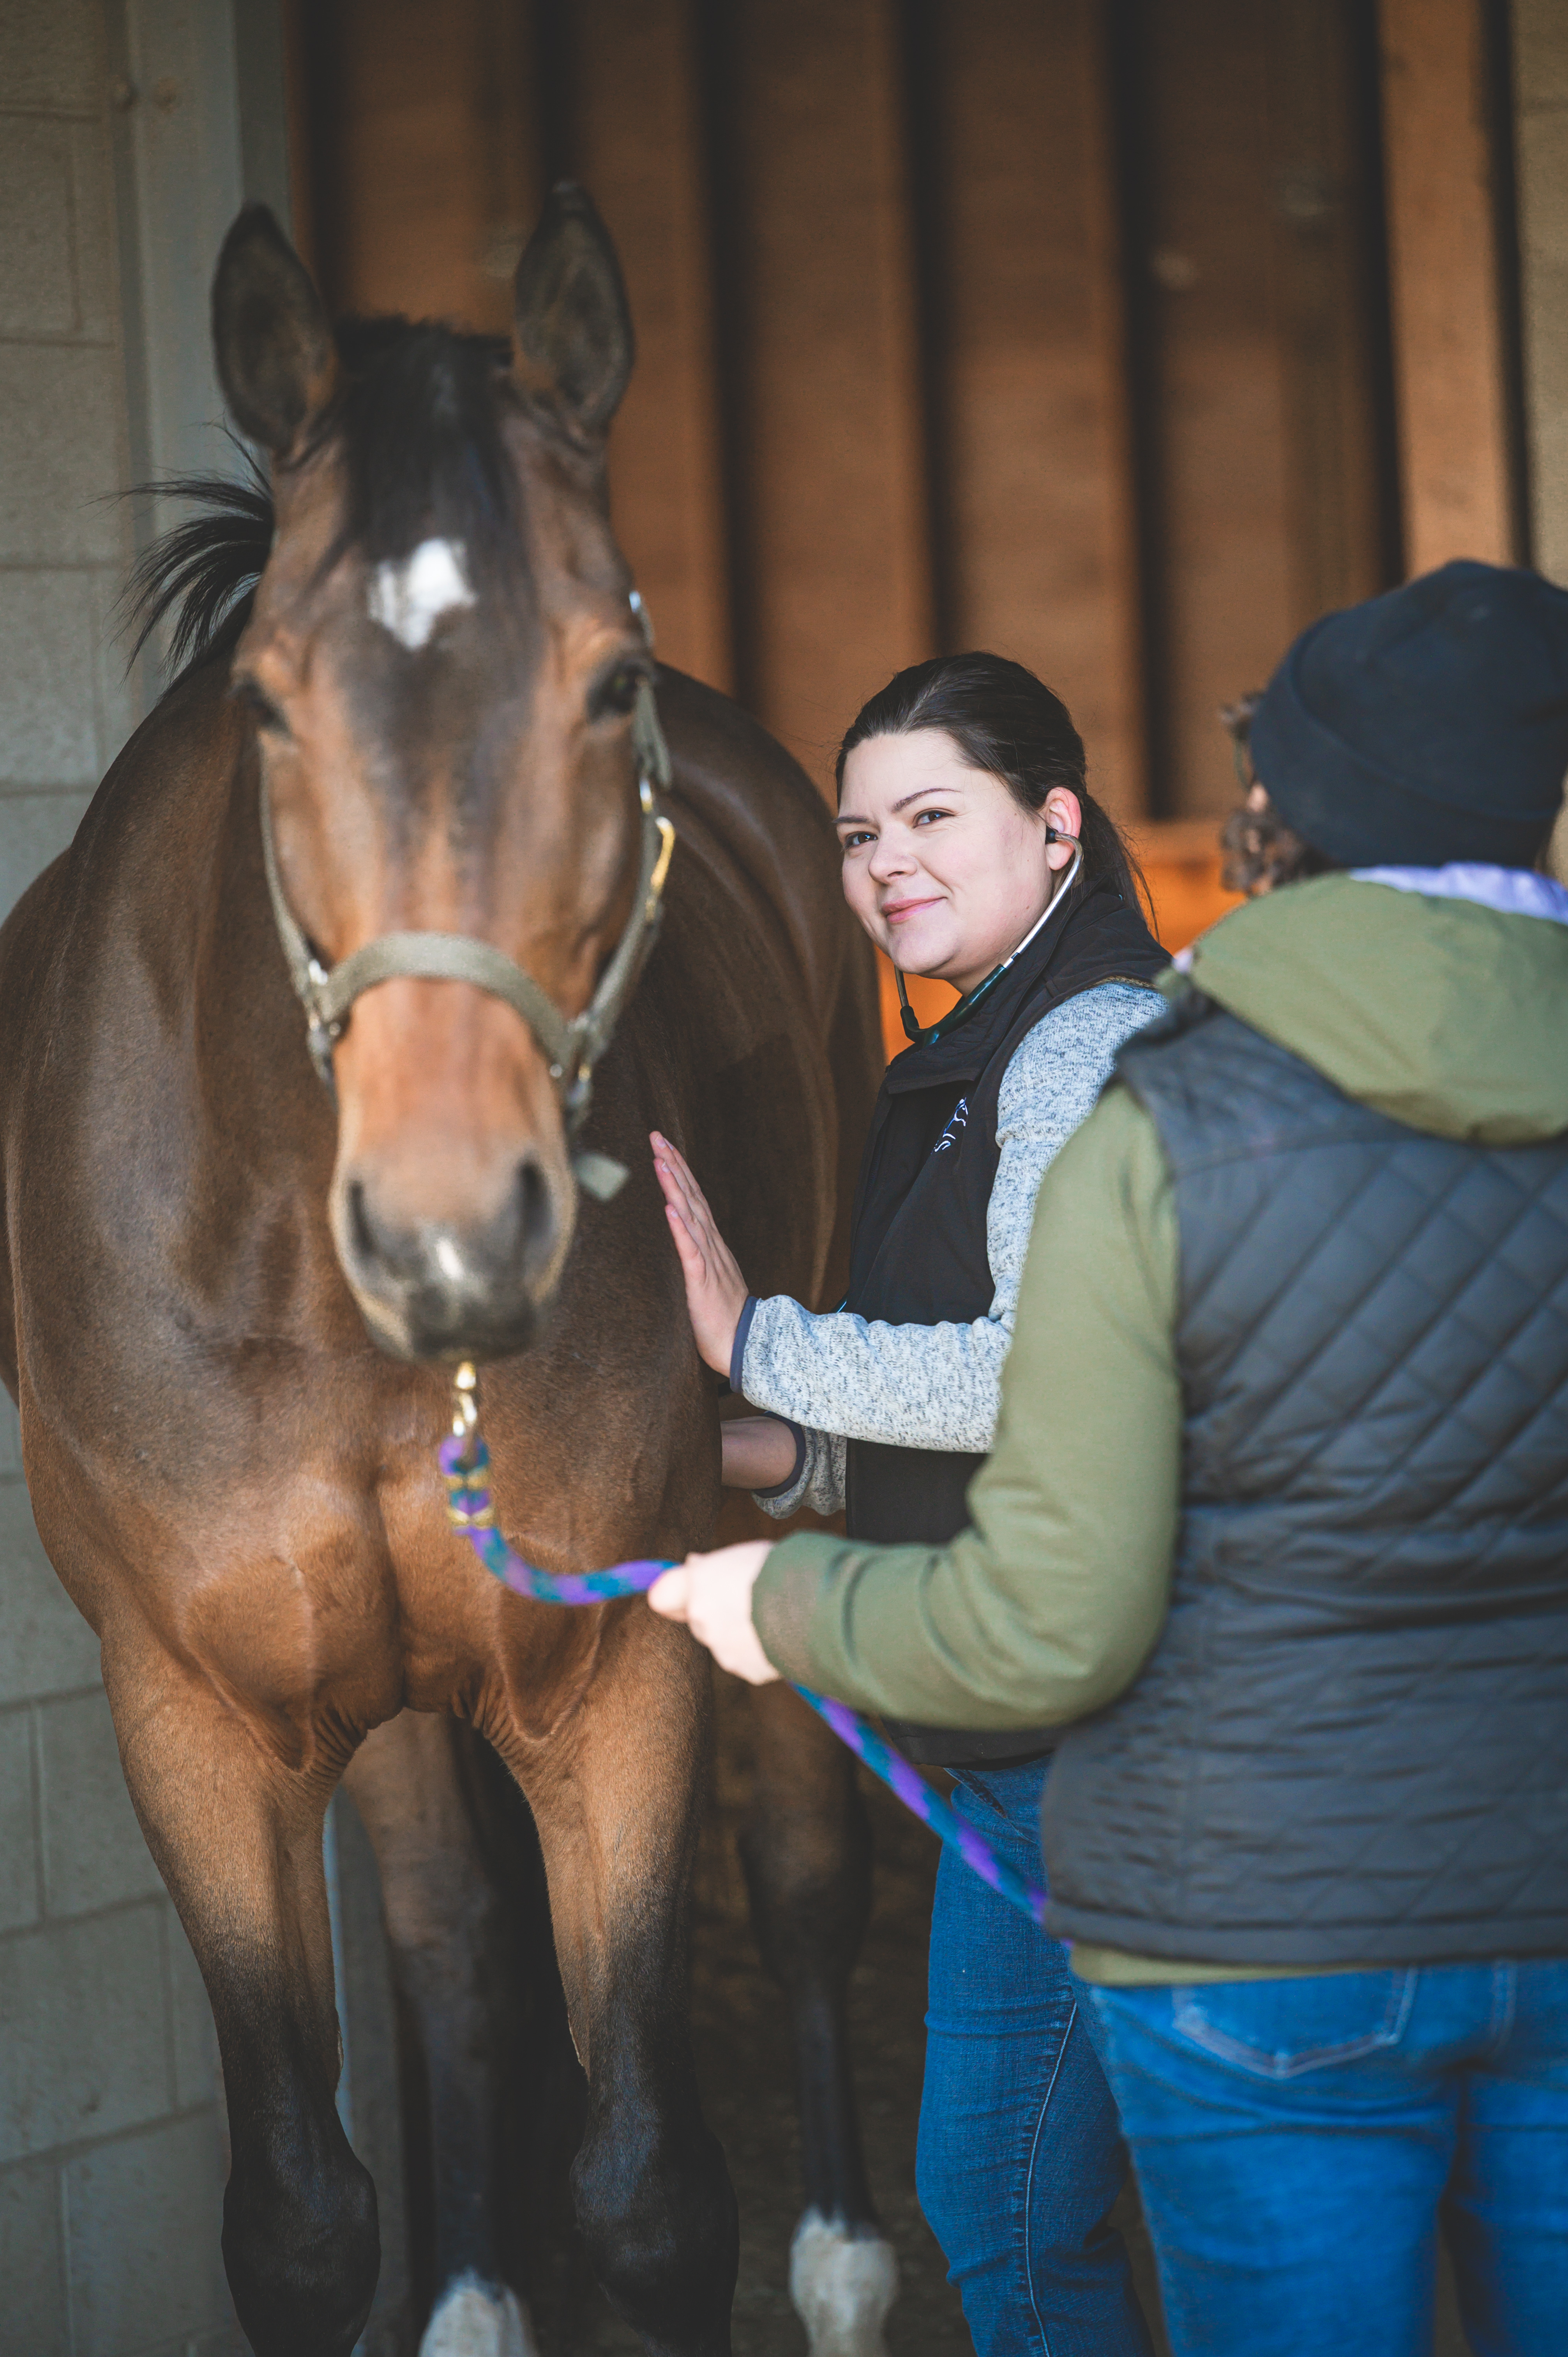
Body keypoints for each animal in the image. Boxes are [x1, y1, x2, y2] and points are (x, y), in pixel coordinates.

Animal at [0, 188, 894, 2357]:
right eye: (267, 700)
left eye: (607, 678)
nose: (453, 1234)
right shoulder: (194, 1722)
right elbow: (303, 2216)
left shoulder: (616, 1679)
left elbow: (652, 2197)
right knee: (455, 1957)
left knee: (805, 1881)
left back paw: (844, 2264)